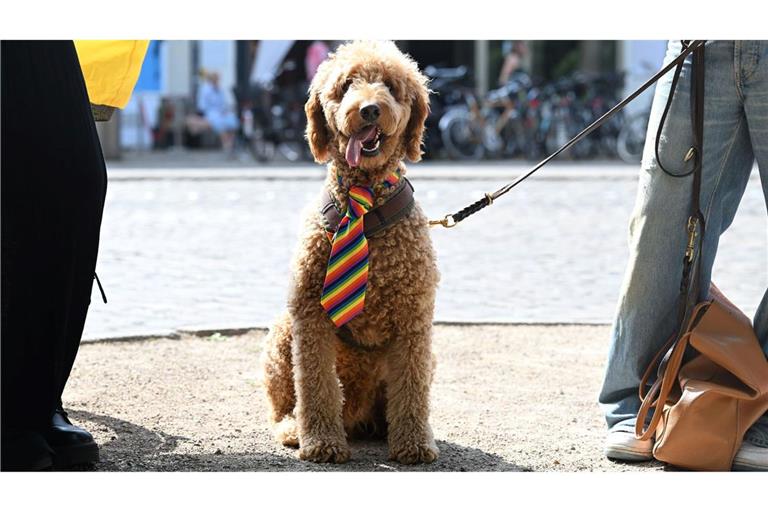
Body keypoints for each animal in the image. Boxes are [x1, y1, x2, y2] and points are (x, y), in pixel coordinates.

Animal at [260, 40, 440, 464]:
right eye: (346, 86)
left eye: (390, 86)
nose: (370, 108)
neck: (365, 199)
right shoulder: (309, 316)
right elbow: (317, 385)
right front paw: (321, 442)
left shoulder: (414, 319)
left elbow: (412, 388)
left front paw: (414, 443)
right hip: (282, 332)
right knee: (283, 407)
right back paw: (294, 429)